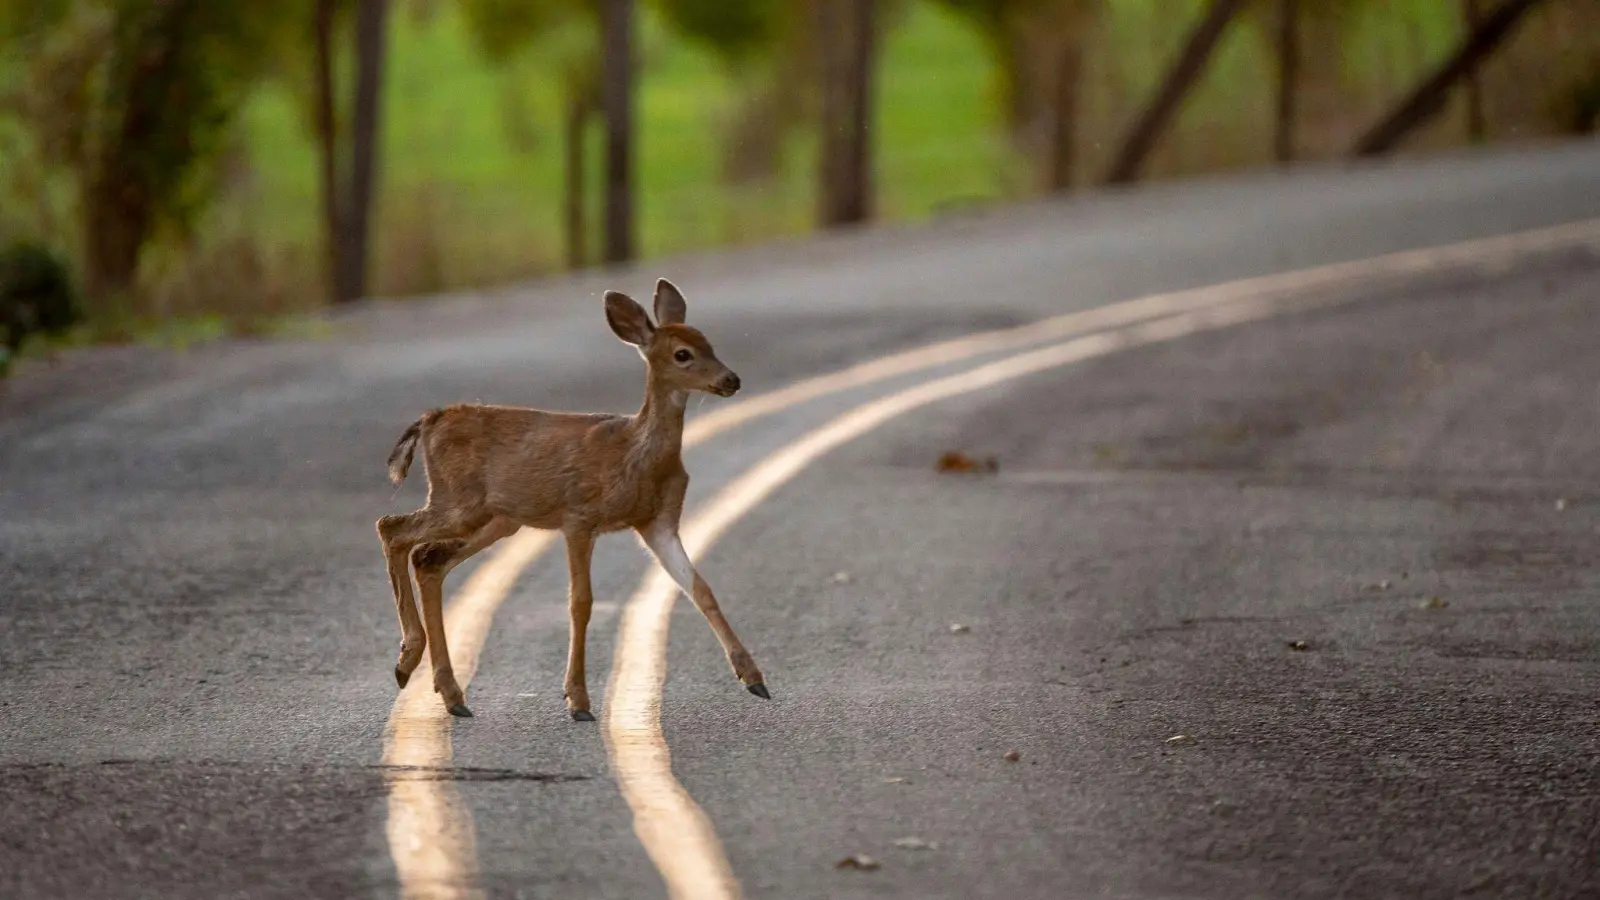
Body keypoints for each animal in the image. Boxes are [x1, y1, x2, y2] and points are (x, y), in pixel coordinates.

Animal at [376, 279, 768, 720]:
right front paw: (578, 700)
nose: (732, 380)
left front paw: (754, 678)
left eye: (709, 342)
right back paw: (408, 660)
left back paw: (450, 693)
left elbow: (700, 589)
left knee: (428, 559)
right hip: (459, 502)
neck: (636, 454)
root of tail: (430, 418)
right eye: (683, 354)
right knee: (392, 528)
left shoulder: (658, 522)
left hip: (497, 519)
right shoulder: (579, 516)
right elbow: (581, 602)